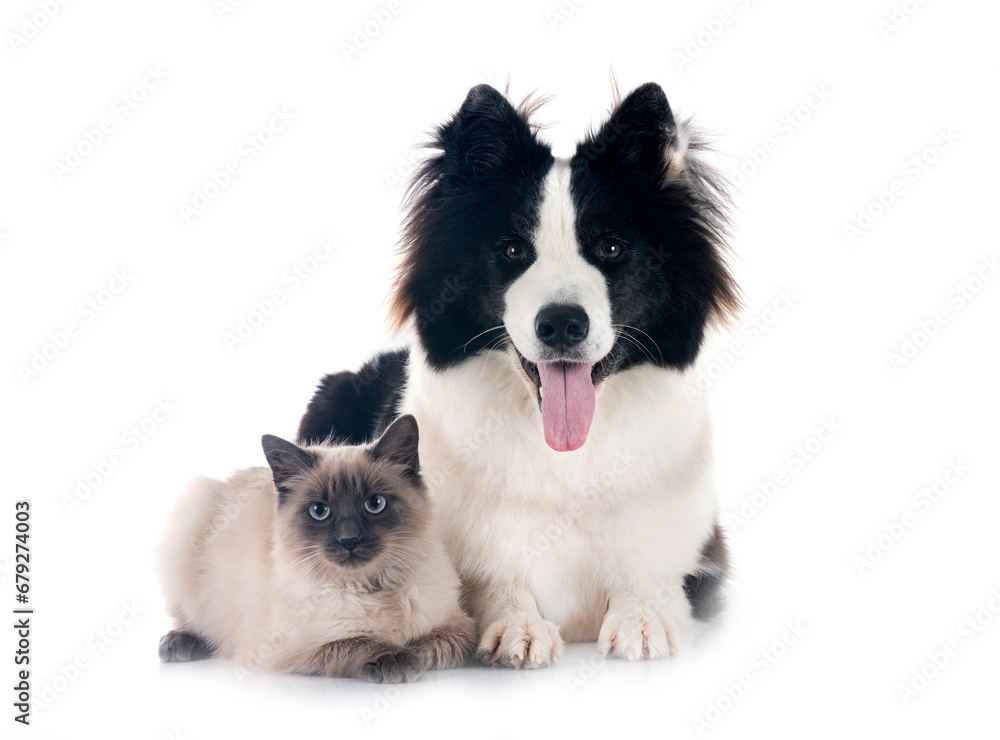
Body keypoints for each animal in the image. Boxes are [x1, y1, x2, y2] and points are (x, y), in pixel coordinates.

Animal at [155, 414, 472, 684]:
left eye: (374, 504)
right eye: (320, 511)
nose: (349, 540)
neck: (374, 589)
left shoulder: (456, 628)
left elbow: (423, 648)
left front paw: (408, 654)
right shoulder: (288, 649)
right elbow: (356, 643)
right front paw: (397, 658)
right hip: (190, 516)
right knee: (191, 621)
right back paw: (178, 645)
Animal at [294, 84, 736, 668]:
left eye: (611, 248)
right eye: (513, 250)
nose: (563, 324)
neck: (568, 461)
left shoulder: (702, 556)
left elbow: (656, 572)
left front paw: (642, 616)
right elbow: (488, 581)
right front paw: (517, 623)